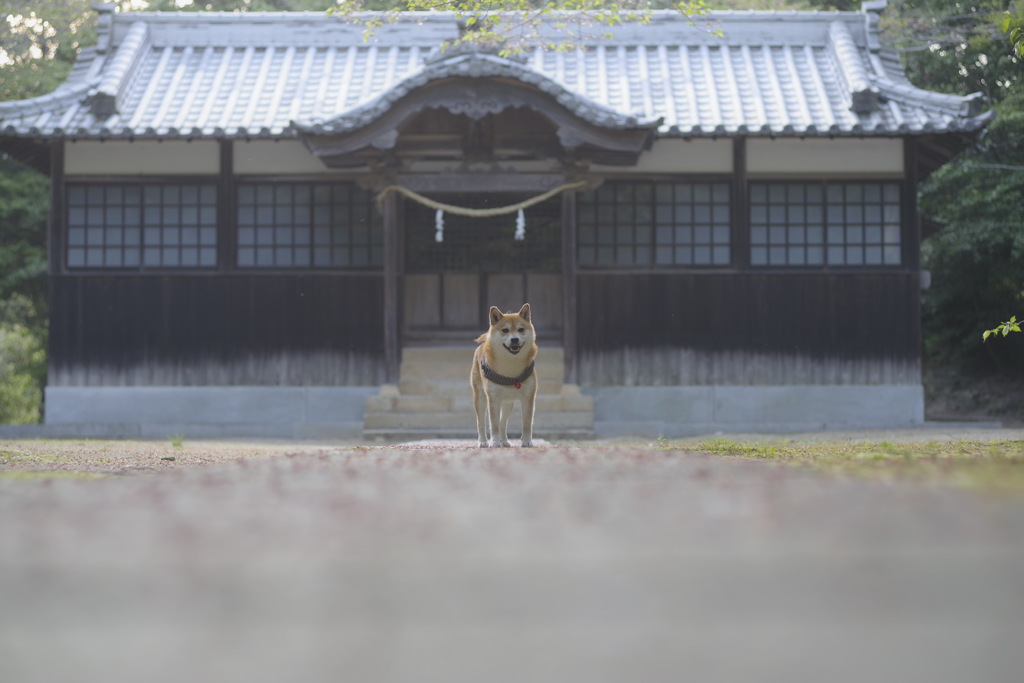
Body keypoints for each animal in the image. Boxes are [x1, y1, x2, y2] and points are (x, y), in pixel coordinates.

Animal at [468, 305, 540, 448]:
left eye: (521, 329)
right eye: (505, 330)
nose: (514, 339)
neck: (510, 365)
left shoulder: (528, 398)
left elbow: (527, 423)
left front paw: (527, 441)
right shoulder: (493, 399)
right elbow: (494, 424)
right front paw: (494, 442)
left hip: (508, 403)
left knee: (503, 422)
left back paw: (504, 441)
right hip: (480, 399)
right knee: (481, 423)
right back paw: (483, 441)